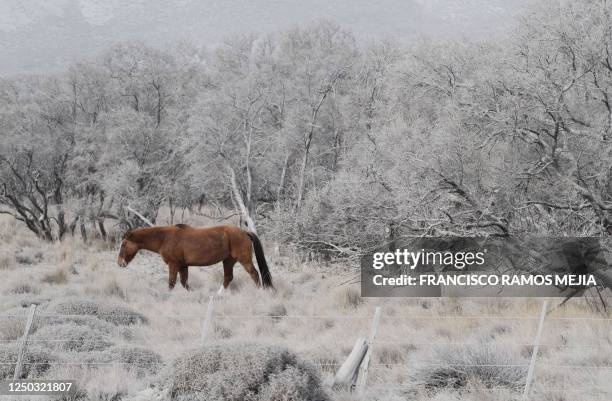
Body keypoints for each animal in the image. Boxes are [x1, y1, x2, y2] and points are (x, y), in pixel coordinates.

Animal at [116, 222, 272, 290]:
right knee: (228, 278)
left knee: (254, 274)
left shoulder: (173, 265)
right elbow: (184, 283)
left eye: (123, 244)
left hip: (244, 259)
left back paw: (260, 291)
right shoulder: (183, 266)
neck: (165, 238)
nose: (120, 263)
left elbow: (171, 283)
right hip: (228, 261)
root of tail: (245, 232)